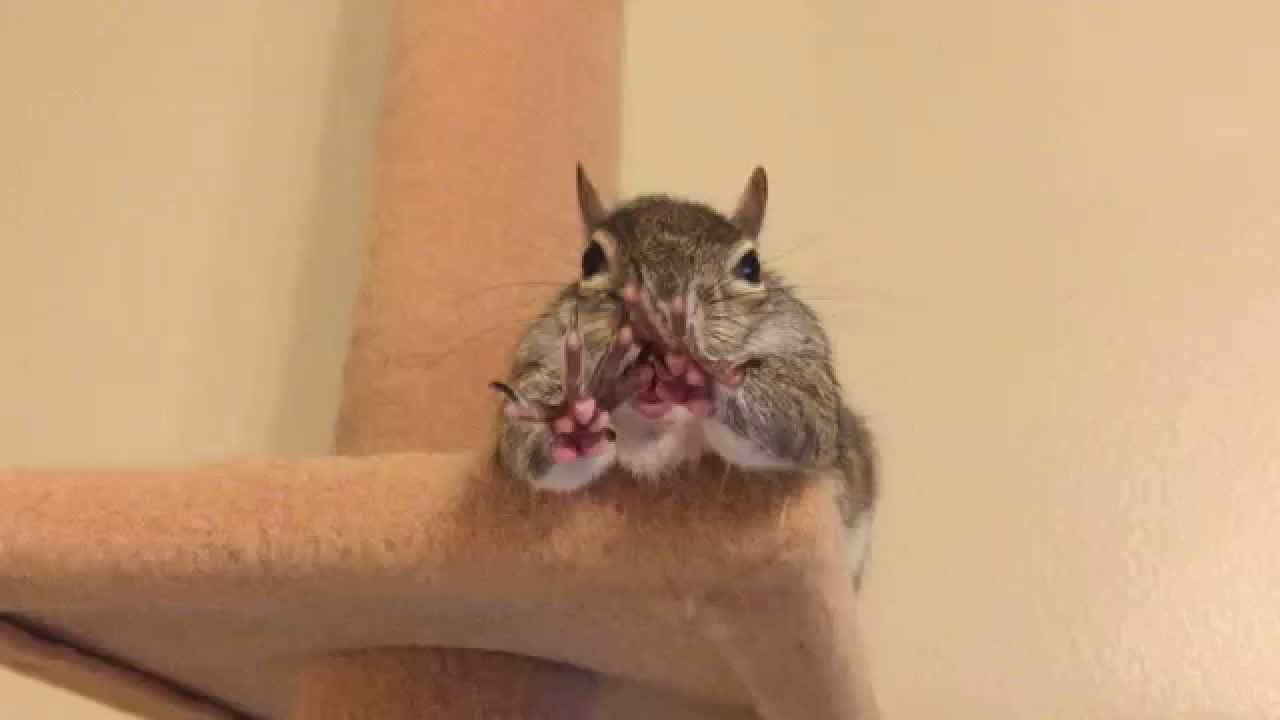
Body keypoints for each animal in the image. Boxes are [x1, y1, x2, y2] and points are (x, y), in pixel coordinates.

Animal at [490, 166, 878, 583]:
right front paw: (575, 419)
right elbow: (522, 450)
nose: (658, 311)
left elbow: (803, 418)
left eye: (751, 267)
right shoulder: (538, 357)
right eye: (590, 261)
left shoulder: (808, 369)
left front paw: (699, 374)